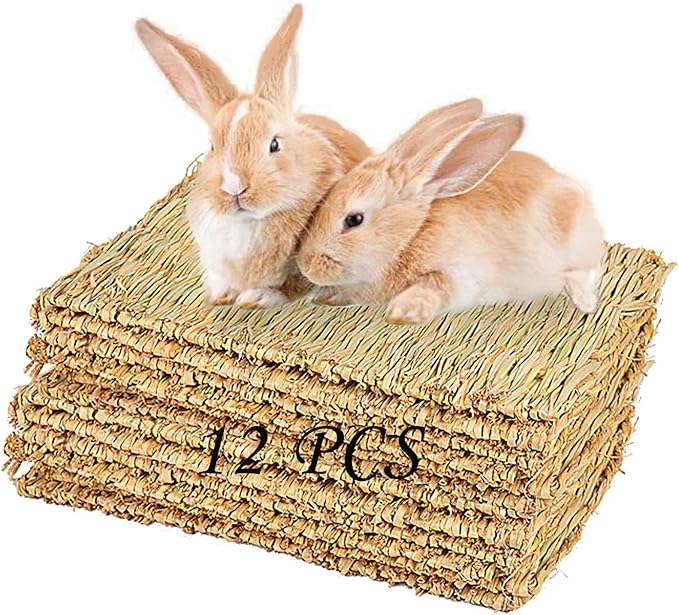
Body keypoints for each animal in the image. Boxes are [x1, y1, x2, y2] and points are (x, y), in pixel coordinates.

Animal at [135, 5, 370, 309]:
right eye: (212, 147)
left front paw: (254, 298)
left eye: (274, 144)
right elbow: (218, 278)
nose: (234, 187)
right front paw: (221, 296)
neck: (249, 223)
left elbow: (289, 287)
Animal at [296, 99, 604, 326]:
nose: (306, 265)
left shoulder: (457, 275)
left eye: (354, 219)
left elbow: (433, 288)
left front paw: (403, 312)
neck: (410, 235)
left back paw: (585, 303)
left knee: (577, 271)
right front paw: (326, 298)